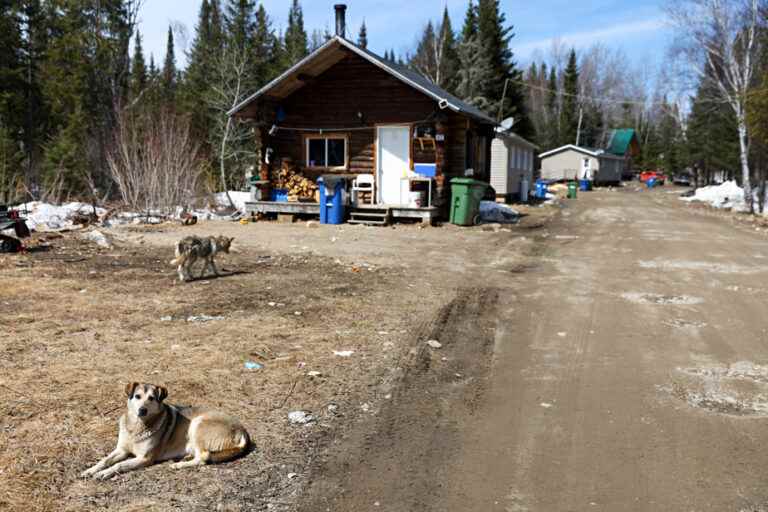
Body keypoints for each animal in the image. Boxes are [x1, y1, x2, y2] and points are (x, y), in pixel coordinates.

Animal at [82, 384, 249, 480]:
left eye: (151, 398)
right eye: (137, 396)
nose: (142, 410)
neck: (137, 426)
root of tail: (242, 431)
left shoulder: (145, 458)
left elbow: (119, 465)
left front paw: (104, 473)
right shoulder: (121, 449)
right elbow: (105, 460)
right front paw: (90, 470)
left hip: (197, 423)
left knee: (203, 457)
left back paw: (178, 466)